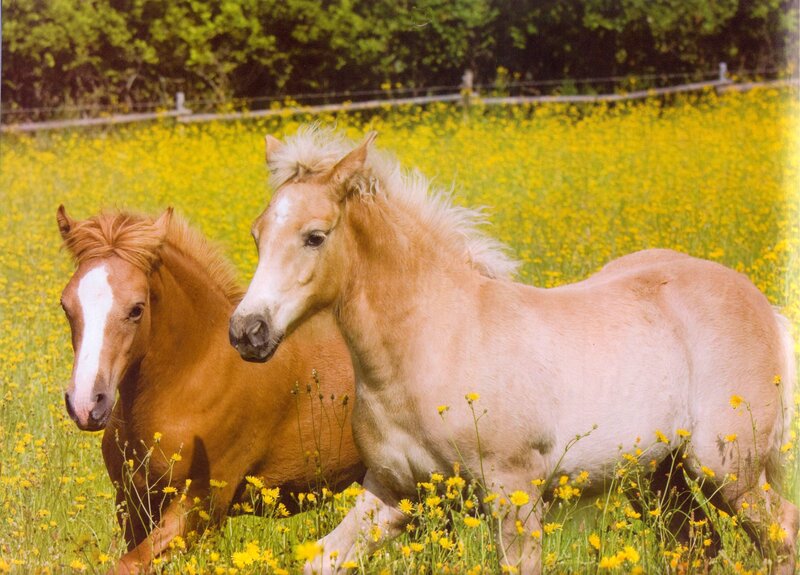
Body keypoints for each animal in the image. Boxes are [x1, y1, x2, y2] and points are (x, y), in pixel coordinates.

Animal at [57, 206, 364, 574]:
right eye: (66, 305)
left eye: (136, 309)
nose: (86, 405)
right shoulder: (133, 503)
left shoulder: (200, 507)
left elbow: (128, 564)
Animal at [228, 127, 798, 574]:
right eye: (257, 234)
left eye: (315, 236)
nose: (246, 331)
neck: (436, 342)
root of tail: (764, 307)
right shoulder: (395, 492)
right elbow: (320, 558)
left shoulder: (514, 496)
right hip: (662, 476)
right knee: (701, 546)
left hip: (727, 470)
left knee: (781, 534)